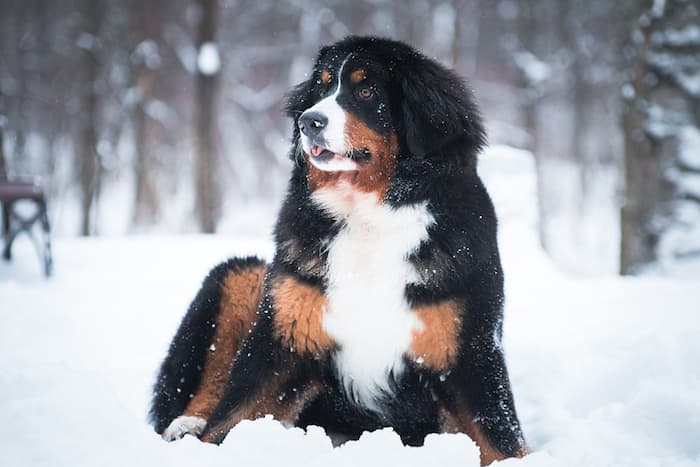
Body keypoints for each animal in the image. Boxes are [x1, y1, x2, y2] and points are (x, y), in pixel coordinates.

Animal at [150, 35, 528, 464]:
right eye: (323, 86)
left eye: (366, 91)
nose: (308, 122)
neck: (367, 214)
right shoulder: (283, 337)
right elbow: (232, 416)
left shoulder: (471, 351)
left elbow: (500, 438)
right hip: (241, 276)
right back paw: (186, 425)